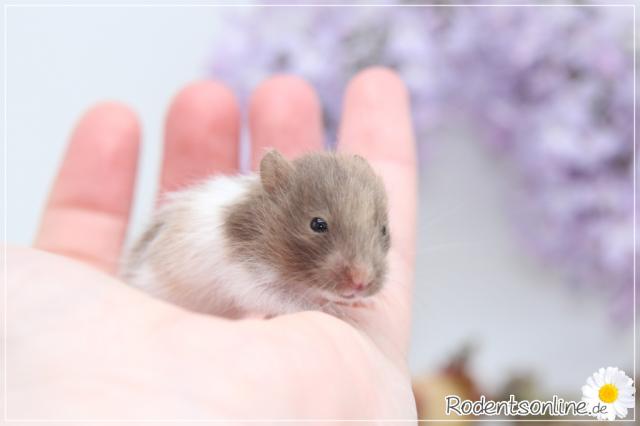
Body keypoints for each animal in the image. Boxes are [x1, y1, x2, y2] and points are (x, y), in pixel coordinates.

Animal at [122, 150, 390, 318]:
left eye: (384, 229)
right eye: (318, 224)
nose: (361, 283)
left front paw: (366, 303)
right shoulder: (247, 278)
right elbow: (289, 300)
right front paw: (336, 310)